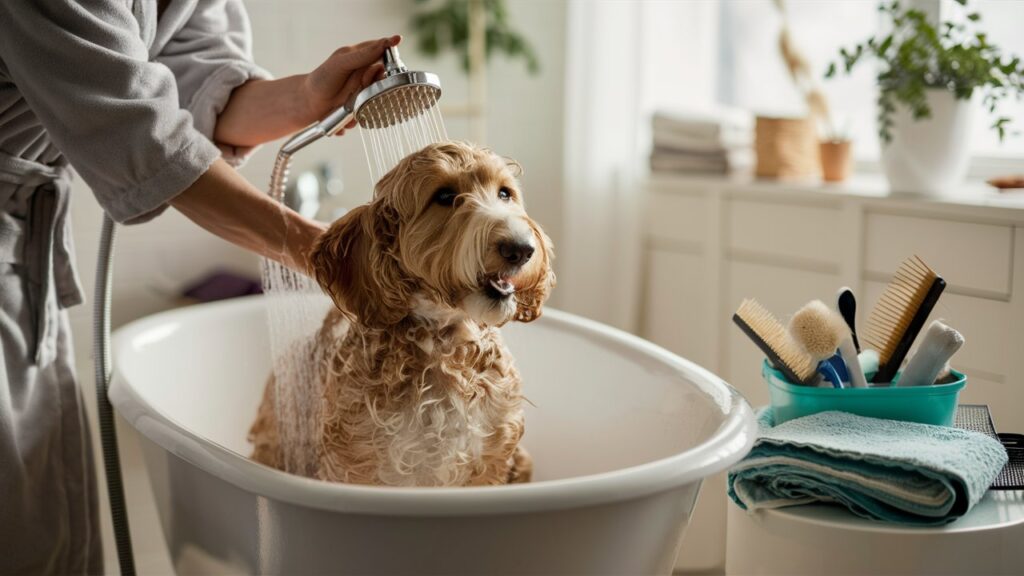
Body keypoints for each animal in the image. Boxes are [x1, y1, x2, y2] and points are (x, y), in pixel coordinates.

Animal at [246, 140, 552, 483]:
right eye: (444, 196)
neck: (446, 344)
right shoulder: (356, 466)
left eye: (504, 193)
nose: (520, 248)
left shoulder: (491, 460)